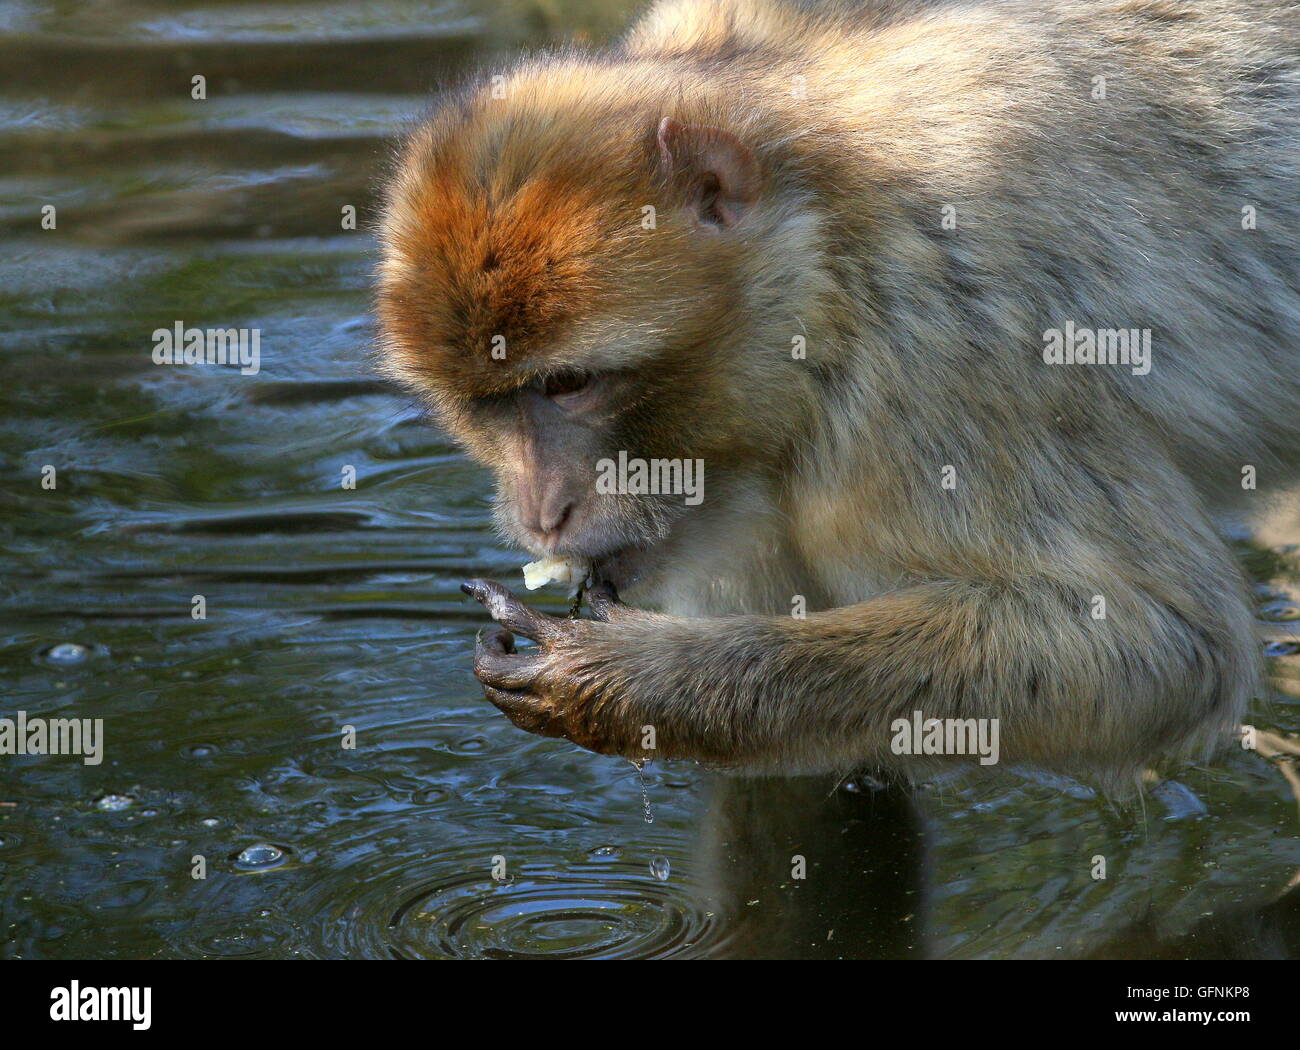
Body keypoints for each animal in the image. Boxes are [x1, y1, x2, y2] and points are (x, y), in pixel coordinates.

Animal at [373, 0, 1300, 787]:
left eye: (568, 384)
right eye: (489, 404)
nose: (541, 512)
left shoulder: (940, 366)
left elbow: (1164, 641)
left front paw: (629, 679)